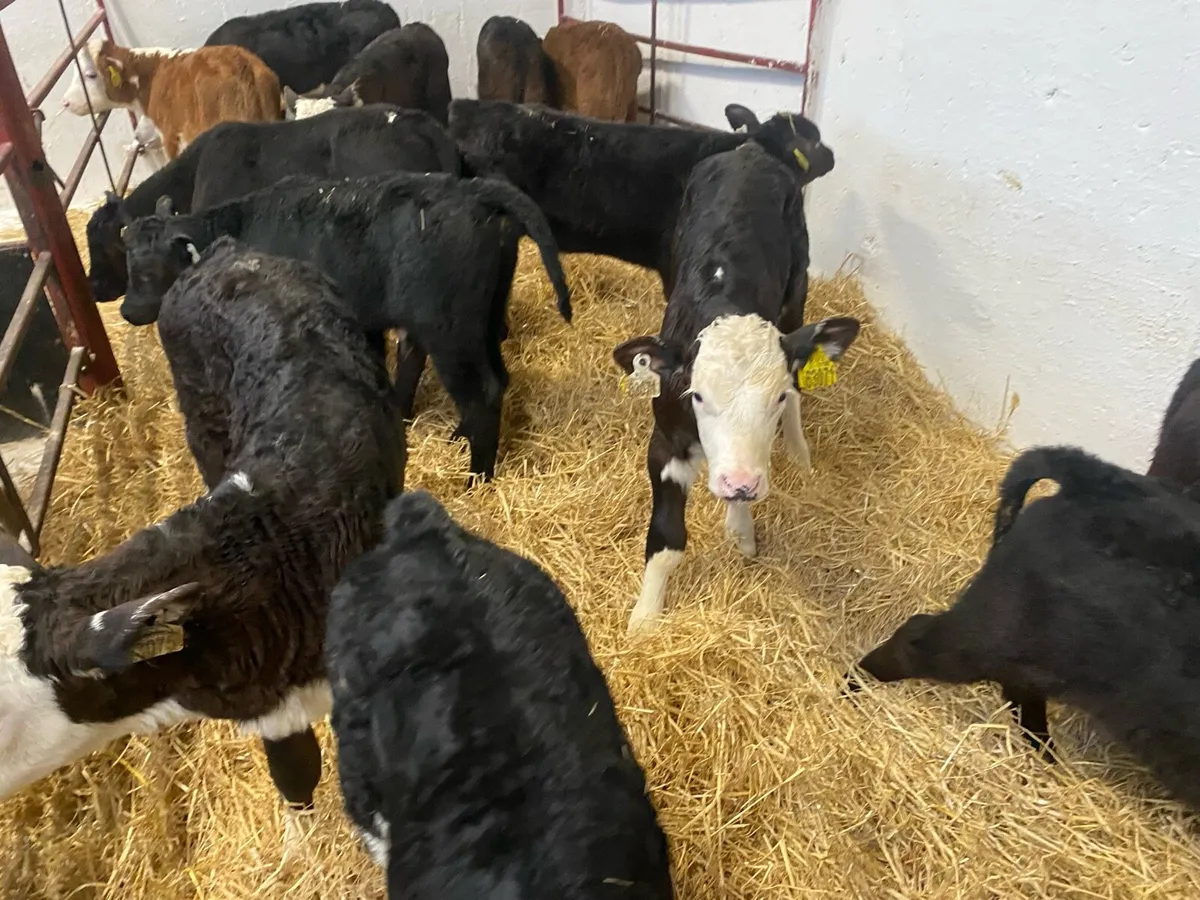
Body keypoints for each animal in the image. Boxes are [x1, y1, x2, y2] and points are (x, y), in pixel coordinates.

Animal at [613, 142, 859, 631]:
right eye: (696, 394)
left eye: (775, 396)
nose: (741, 483)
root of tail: (750, 150)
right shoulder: (664, 441)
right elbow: (666, 540)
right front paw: (646, 616)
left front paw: (741, 528)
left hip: (797, 288)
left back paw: (798, 453)